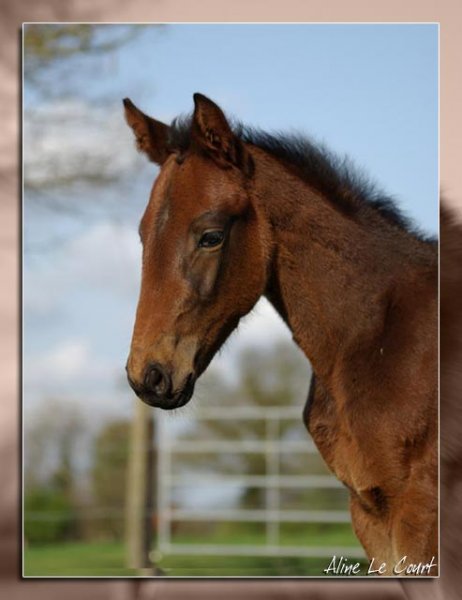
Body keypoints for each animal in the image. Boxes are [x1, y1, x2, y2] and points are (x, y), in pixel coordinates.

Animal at [122, 92, 436, 572]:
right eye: (143, 236)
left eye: (211, 236)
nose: (149, 376)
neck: (380, 339)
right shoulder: (370, 512)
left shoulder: (421, 508)